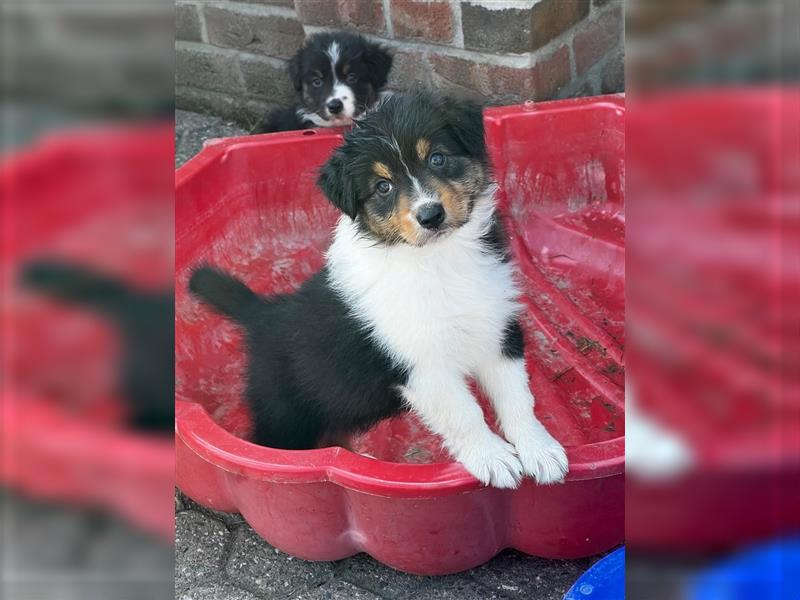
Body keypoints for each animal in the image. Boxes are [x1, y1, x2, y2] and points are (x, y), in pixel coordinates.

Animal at [191, 92, 568, 488]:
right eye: (382, 186)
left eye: (437, 158)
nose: (430, 215)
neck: (438, 259)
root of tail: (264, 312)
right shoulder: (420, 364)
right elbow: (463, 415)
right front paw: (492, 458)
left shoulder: (497, 329)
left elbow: (517, 397)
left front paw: (539, 450)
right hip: (284, 416)